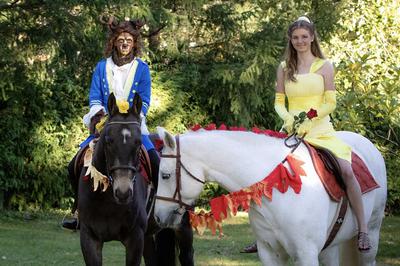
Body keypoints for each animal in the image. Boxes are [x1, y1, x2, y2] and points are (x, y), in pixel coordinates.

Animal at [152, 128, 384, 264]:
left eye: (165, 175)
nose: (157, 217)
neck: (279, 190)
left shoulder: (306, 253)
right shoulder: (269, 252)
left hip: (371, 236)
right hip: (331, 247)